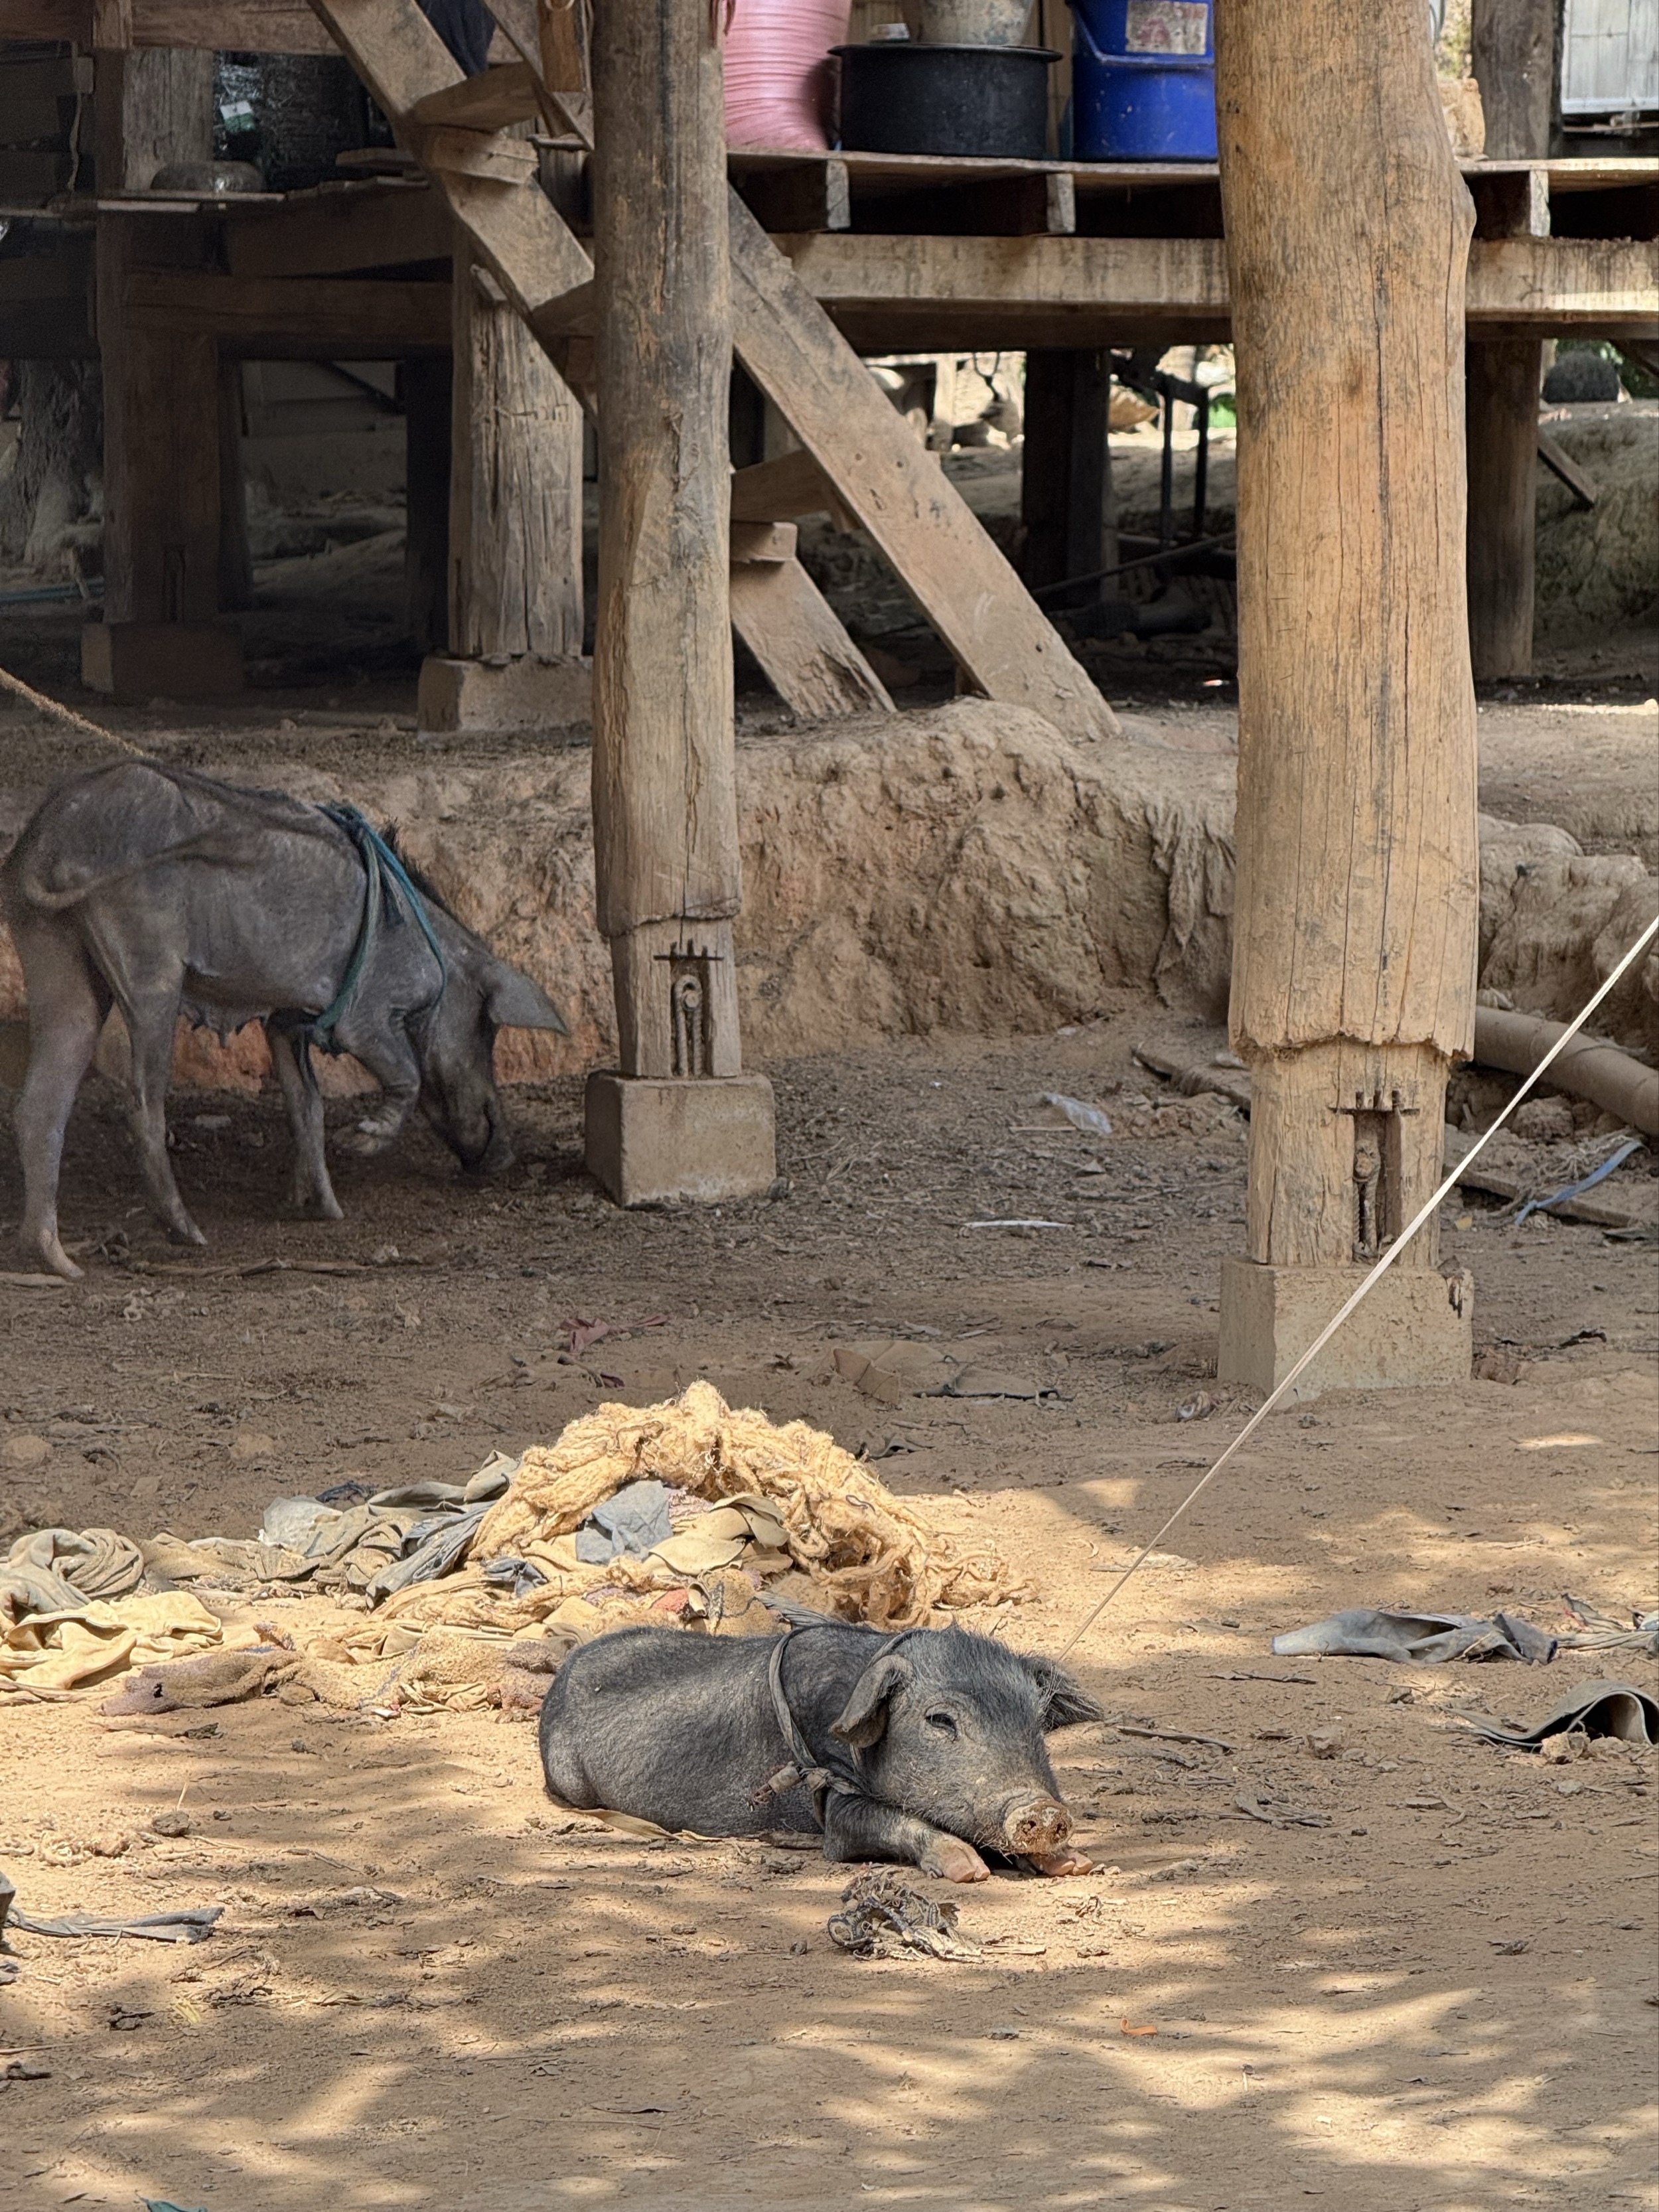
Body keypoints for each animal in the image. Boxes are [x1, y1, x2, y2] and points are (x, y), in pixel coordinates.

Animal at [541, 1610, 1106, 1884]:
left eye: (1036, 1719)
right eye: (941, 1720)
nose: (1045, 1810)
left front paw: (1075, 1864)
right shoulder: (832, 1796)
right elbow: (878, 1822)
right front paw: (968, 1871)